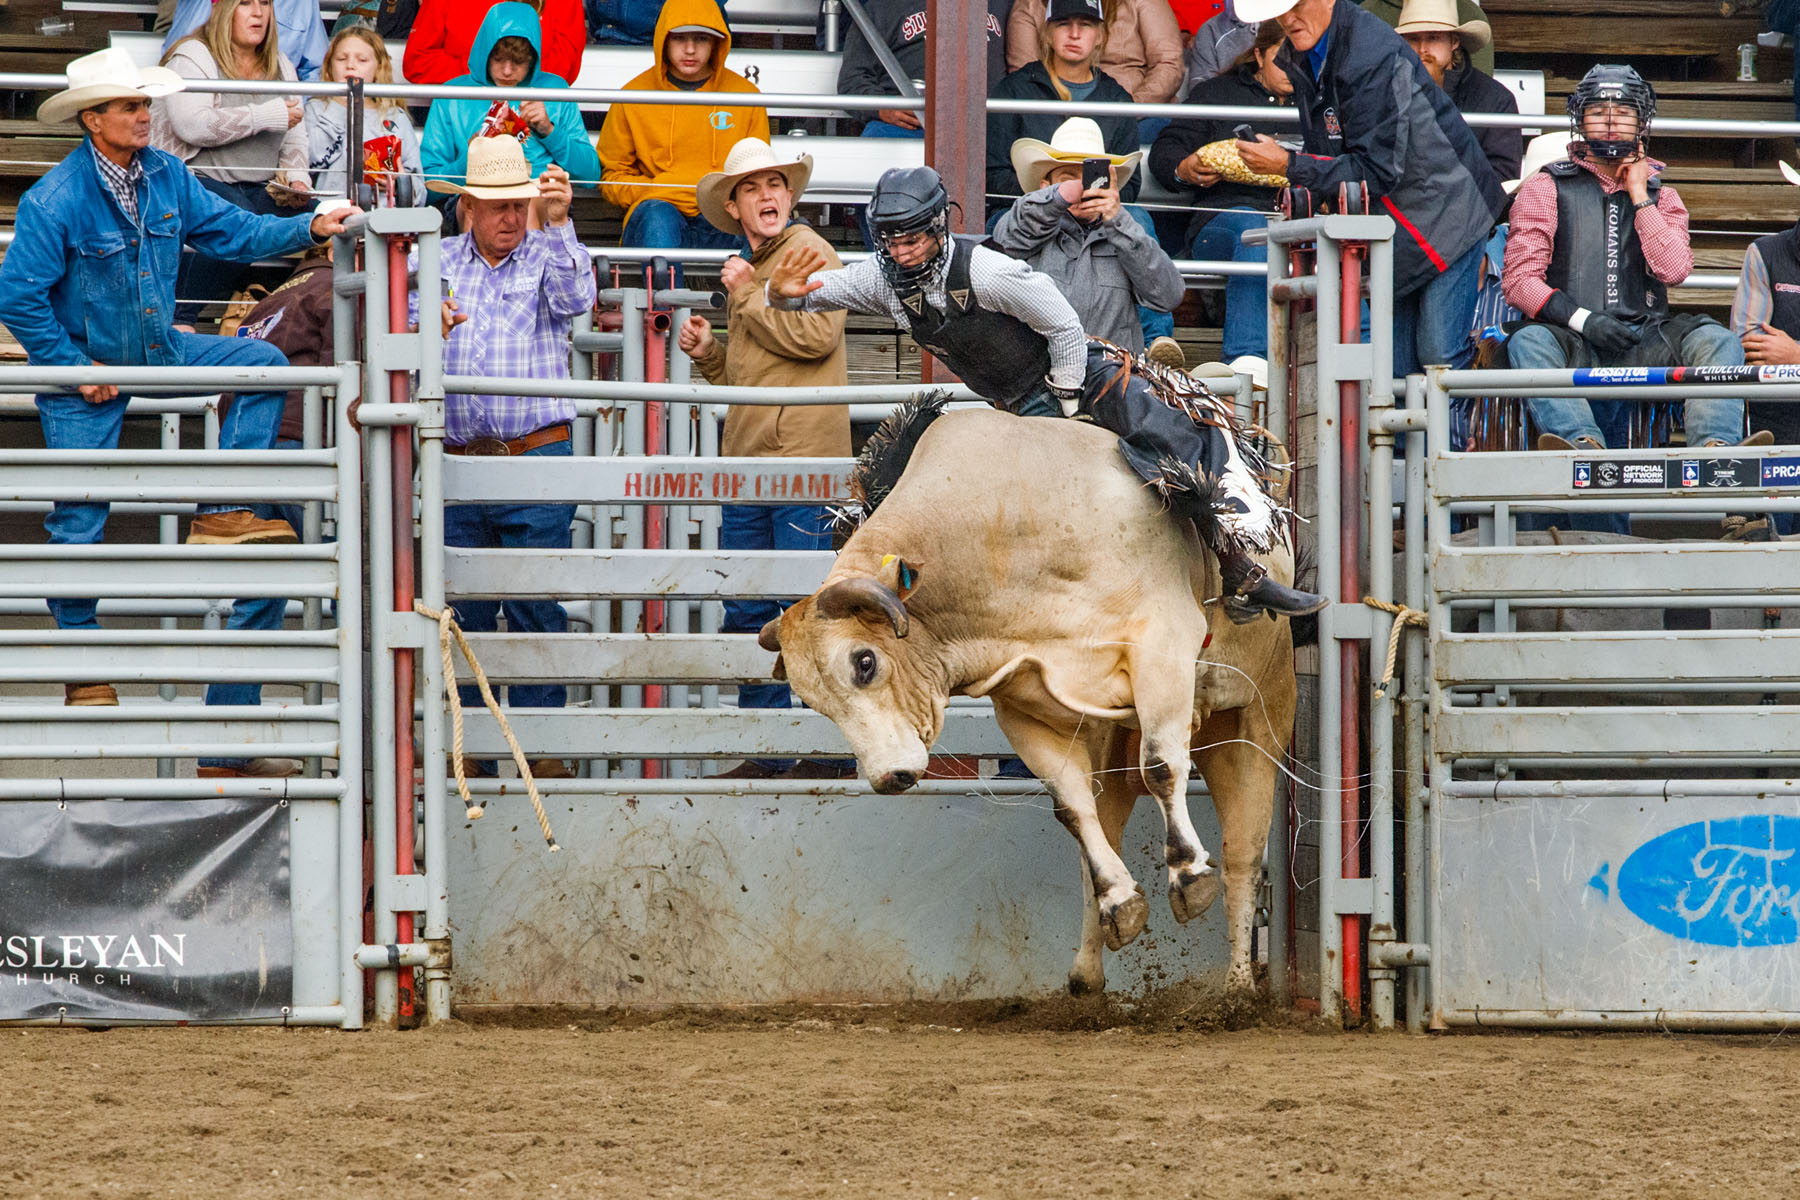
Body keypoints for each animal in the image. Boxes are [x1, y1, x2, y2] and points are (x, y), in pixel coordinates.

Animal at [757, 402, 1300, 996]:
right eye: (813, 701)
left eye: (864, 661)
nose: (888, 778)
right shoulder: (1023, 711)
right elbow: (1071, 807)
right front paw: (1122, 902)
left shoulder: (1163, 644)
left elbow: (1161, 767)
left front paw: (1187, 873)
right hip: (1112, 746)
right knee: (1102, 835)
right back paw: (1090, 965)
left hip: (1254, 722)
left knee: (1242, 856)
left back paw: (1238, 985)